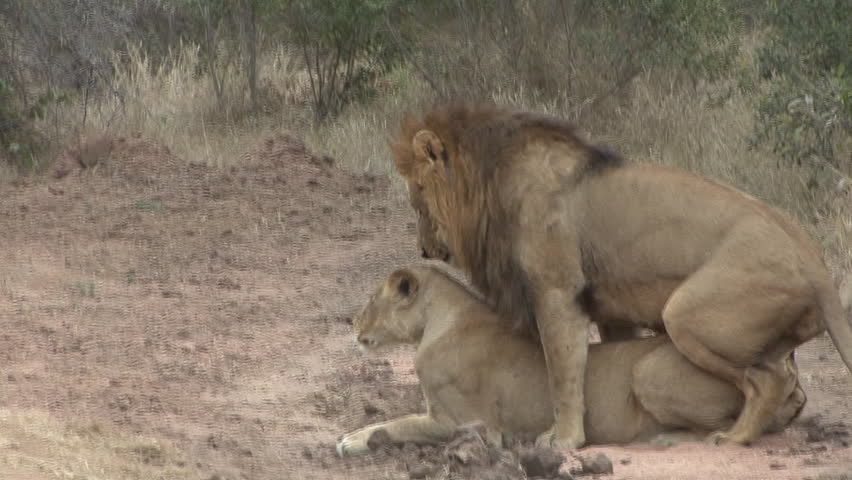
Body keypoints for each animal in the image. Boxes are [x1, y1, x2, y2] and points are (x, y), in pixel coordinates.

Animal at [334, 266, 804, 458]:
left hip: (648, 370)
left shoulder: (469, 424)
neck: (436, 322)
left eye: (372, 299)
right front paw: (353, 435)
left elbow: (396, 425)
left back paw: (668, 438)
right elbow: (391, 421)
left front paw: (352, 441)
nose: (352, 320)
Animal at [392, 103, 852, 448]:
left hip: (685, 314)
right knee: (784, 378)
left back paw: (734, 437)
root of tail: (812, 256)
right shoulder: (611, 309)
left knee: (767, 379)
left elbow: (562, 373)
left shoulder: (557, 293)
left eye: (417, 195)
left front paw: (563, 440)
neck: (490, 187)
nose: (423, 250)